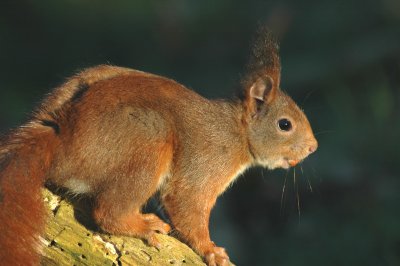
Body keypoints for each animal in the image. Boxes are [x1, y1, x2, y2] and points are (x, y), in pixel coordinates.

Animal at [0, 28, 318, 264]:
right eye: (285, 124)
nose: (313, 148)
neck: (236, 132)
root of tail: (61, 136)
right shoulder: (206, 164)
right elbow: (187, 204)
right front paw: (211, 250)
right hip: (149, 142)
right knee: (108, 213)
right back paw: (143, 225)